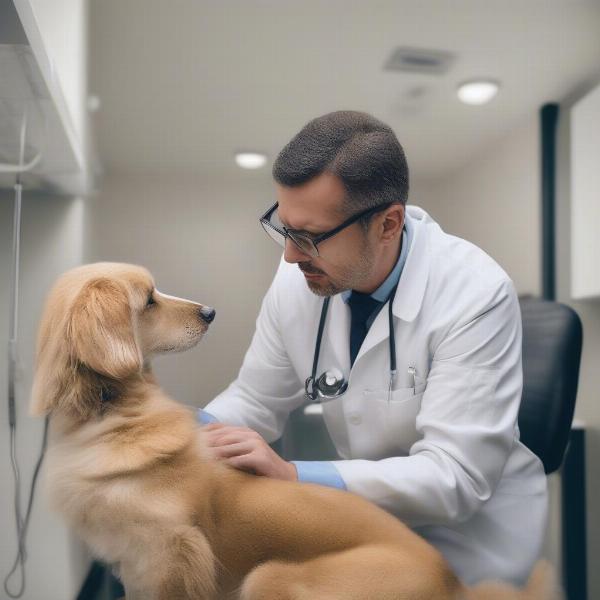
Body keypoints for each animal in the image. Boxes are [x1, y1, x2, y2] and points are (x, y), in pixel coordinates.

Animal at [30, 262, 560, 600]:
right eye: (149, 300)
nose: (209, 312)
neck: (110, 414)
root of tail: (456, 584)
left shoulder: (171, 557)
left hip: (269, 579)